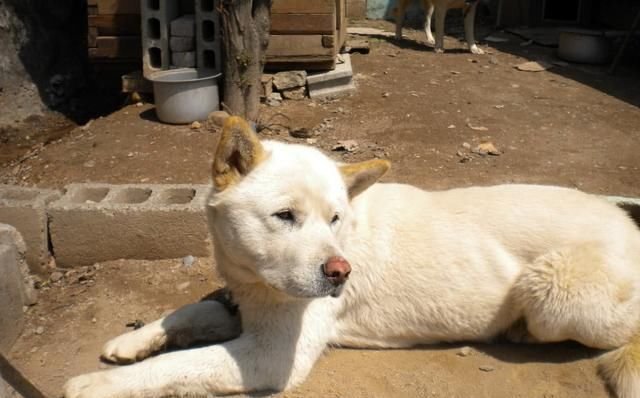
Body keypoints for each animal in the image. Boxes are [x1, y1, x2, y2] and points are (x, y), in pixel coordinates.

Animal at [65, 116, 640, 396]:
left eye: (335, 218)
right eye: (285, 216)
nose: (340, 273)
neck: (255, 283)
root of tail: (627, 223)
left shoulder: (271, 355)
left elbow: (176, 365)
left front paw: (99, 383)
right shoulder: (245, 305)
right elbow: (191, 310)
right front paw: (131, 341)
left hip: (551, 292)